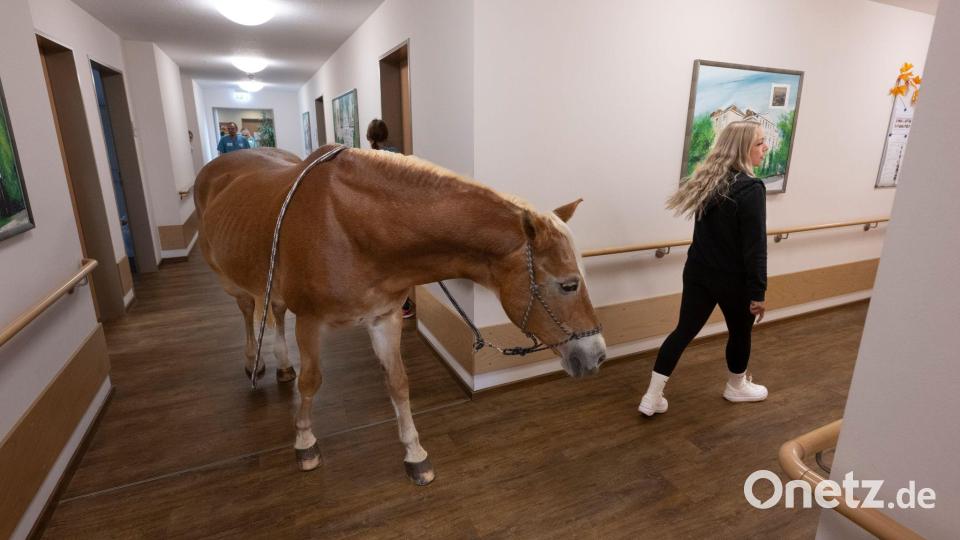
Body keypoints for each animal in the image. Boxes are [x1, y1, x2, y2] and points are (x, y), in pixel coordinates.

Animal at [194, 145, 607, 485]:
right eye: (569, 285)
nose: (598, 354)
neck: (350, 228)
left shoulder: (384, 318)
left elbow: (398, 383)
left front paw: (414, 454)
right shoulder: (310, 321)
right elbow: (311, 382)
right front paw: (305, 441)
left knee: (276, 312)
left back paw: (281, 363)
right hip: (230, 280)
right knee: (249, 311)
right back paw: (254, 361)